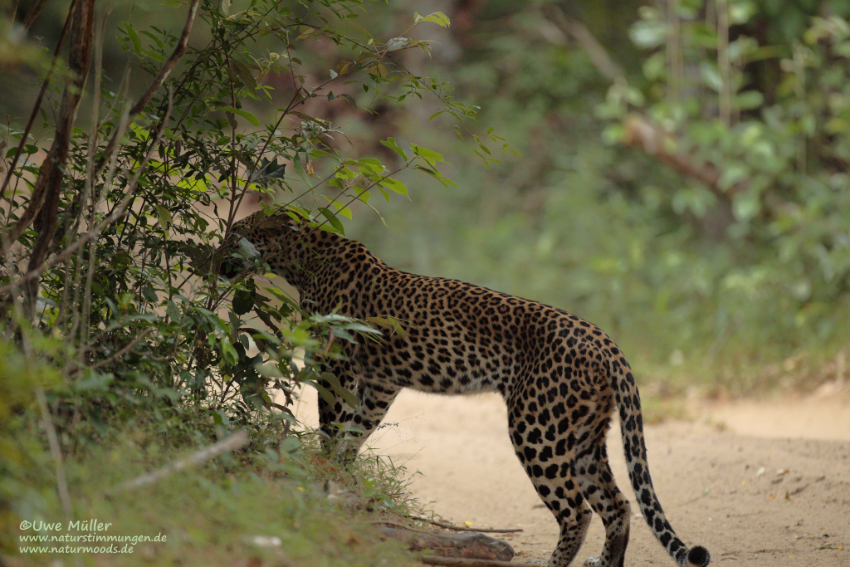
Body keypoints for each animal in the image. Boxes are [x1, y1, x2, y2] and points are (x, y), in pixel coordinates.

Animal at [217, 209, 711, 567]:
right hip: (584, 435)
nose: (215, 256)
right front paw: (340, 478)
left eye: (236, 235)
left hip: (538, 429)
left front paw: (321, 472)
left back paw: (553, 564)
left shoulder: (333, 363)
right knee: (618, 506)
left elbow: (331, 423)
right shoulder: (381, 383)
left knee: (578, 510)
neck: (304, 258)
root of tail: (606, 342)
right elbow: (356, 431)